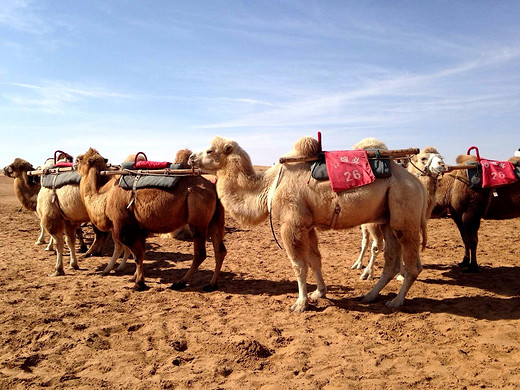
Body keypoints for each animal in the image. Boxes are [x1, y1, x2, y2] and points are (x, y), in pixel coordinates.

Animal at [75, 148, 228, 290]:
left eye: (79, 159)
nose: (74, 164)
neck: (105, 197)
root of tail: (212, 186)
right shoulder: (140, 228)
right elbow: (141, 253)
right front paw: (134, 278)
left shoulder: (124, 225)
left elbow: (137, 255)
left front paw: (138, 284)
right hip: (214, 220)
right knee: (220, 250)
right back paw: (211, 284)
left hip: (198, 222)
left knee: (200, 253)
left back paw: (180, 282)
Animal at [190, 136, 426, 312]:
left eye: (210, 151)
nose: (191, 157)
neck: (267, 187)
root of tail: (418, 184)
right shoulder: (308, 225)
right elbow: (314, 261)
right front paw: (318, 293)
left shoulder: (291, 224)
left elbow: (298, 265)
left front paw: (300, 303)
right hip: (388, 219)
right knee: (391, 261)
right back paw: (369, 295)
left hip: (405, 212)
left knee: (412, 265)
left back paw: (396, 301)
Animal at [352, 145, 444, 278]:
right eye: (423, 158)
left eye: (441, 157)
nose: (442, 164)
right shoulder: (375, 224)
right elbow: (376, 247)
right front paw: (368, 272)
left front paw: (401, 273)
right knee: (365, 241)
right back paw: (358, 264)